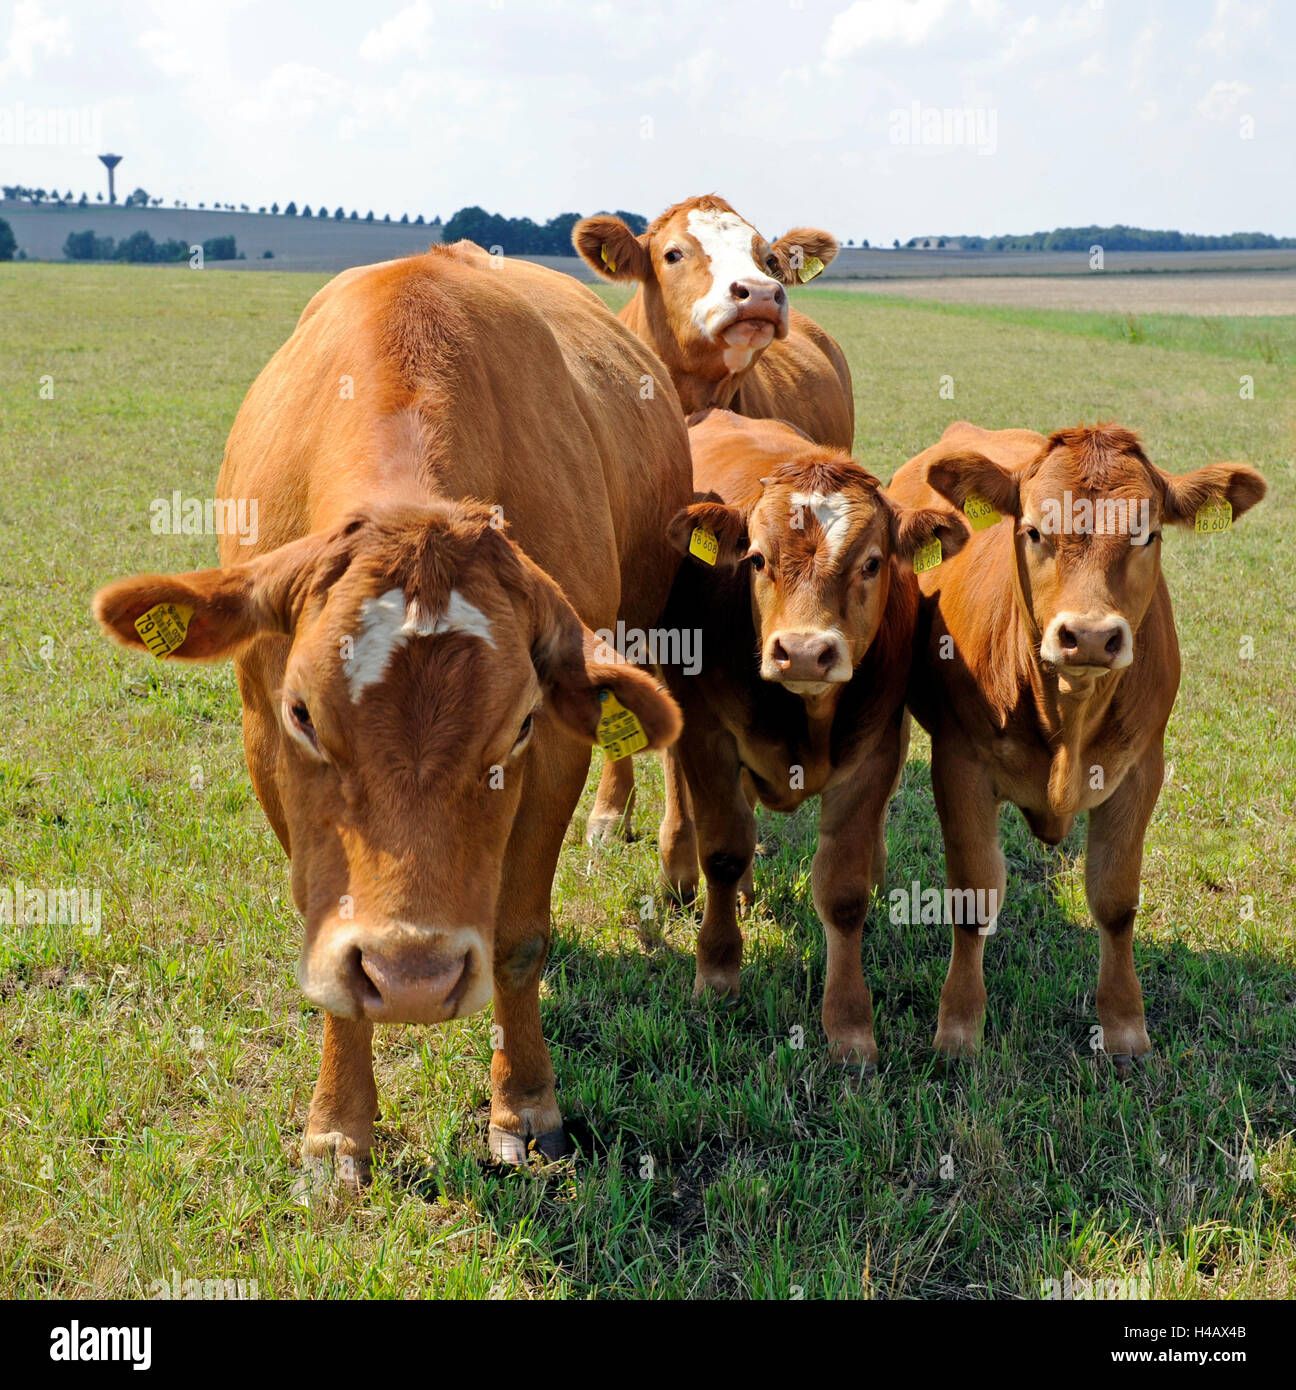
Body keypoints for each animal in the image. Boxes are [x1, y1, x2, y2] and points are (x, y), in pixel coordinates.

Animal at [93, 243, 690, 1176]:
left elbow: (520, 936)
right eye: (303, 714)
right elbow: (326, 935)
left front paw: (525, 1104)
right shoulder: (265, 744)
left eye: (519, 724)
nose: (414, 978)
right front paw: (337, 1127)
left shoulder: (559, 746)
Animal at [657, 409, 970, 1065]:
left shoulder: (873, 754)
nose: (803, 651)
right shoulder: (707, 734)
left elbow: (843, 893)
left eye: (872, 562)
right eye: (755, 559)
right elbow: (722, 852)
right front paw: (717, 973)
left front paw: (849, 1025)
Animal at [887, 421, 1266, 1072]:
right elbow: (973, 897)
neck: (1069, 709)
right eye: (1035, 530)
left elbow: (1114, 901)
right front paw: (959, 1027)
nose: (1088, 635)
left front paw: (1125, 1029)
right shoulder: (958, 764)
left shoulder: (1141, 770)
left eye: (1146, 533)